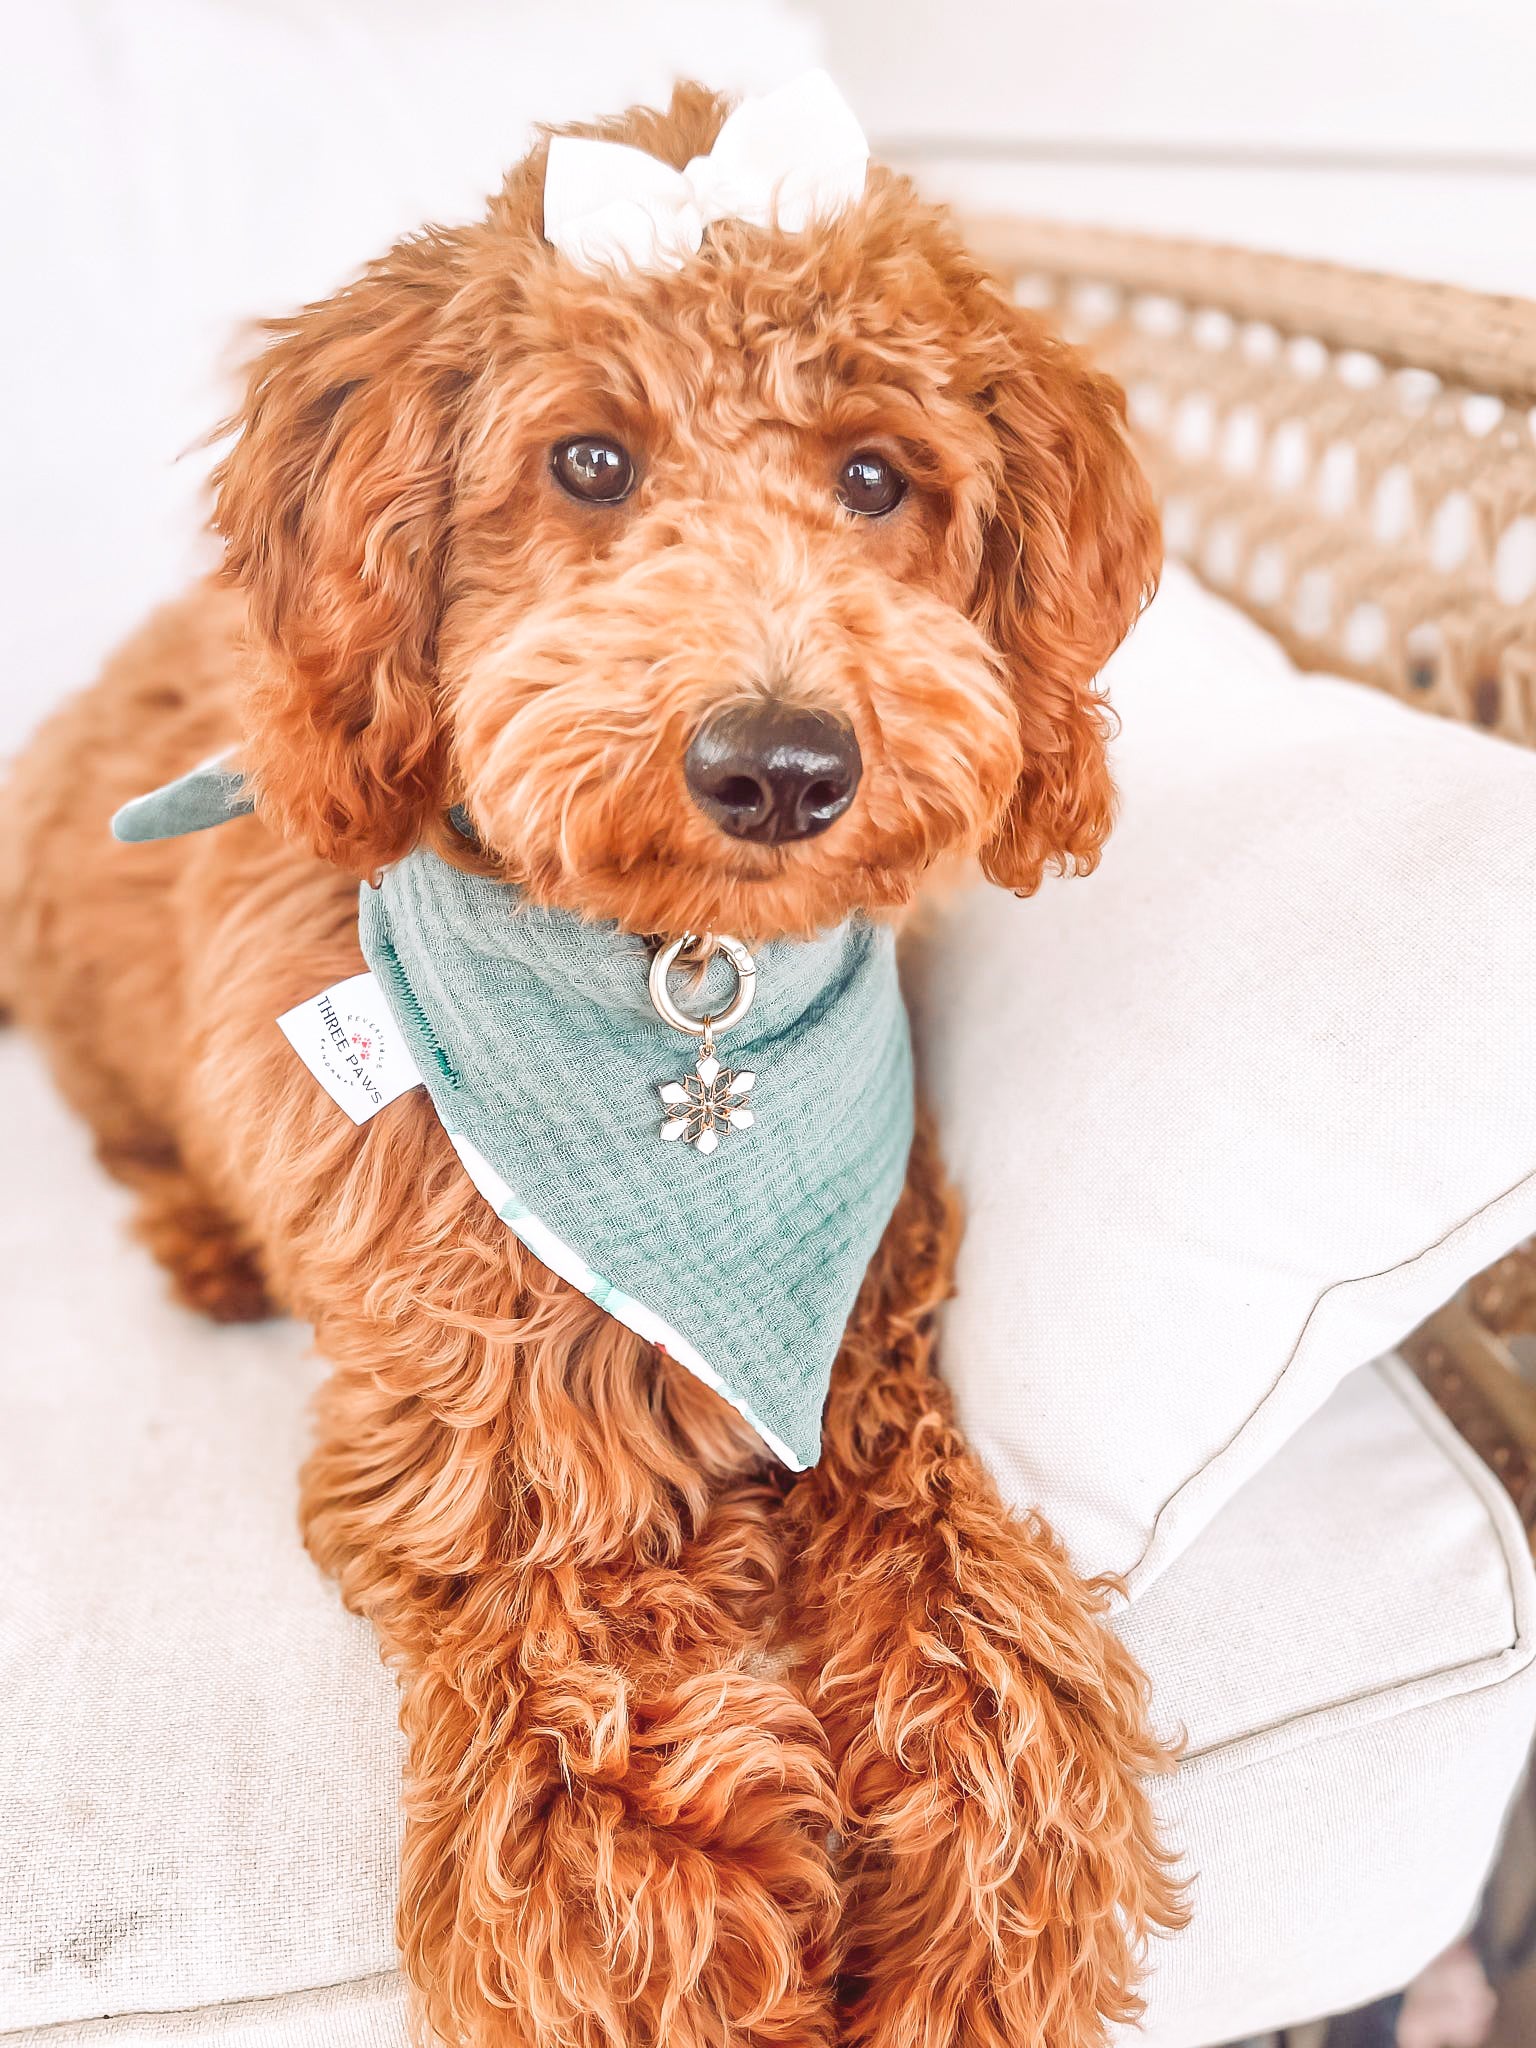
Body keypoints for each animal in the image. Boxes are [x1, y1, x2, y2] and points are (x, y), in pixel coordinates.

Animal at [3, 79, 1179, 2048]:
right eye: (589, 463)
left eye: (877, 479)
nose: (778, 764)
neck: (676, 996)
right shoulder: (495, 1475)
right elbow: (595, 1752)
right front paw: (692, 1945)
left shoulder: (866, 1343)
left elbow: (963, 1579)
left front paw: (990, 1905)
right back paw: (208, 1245)